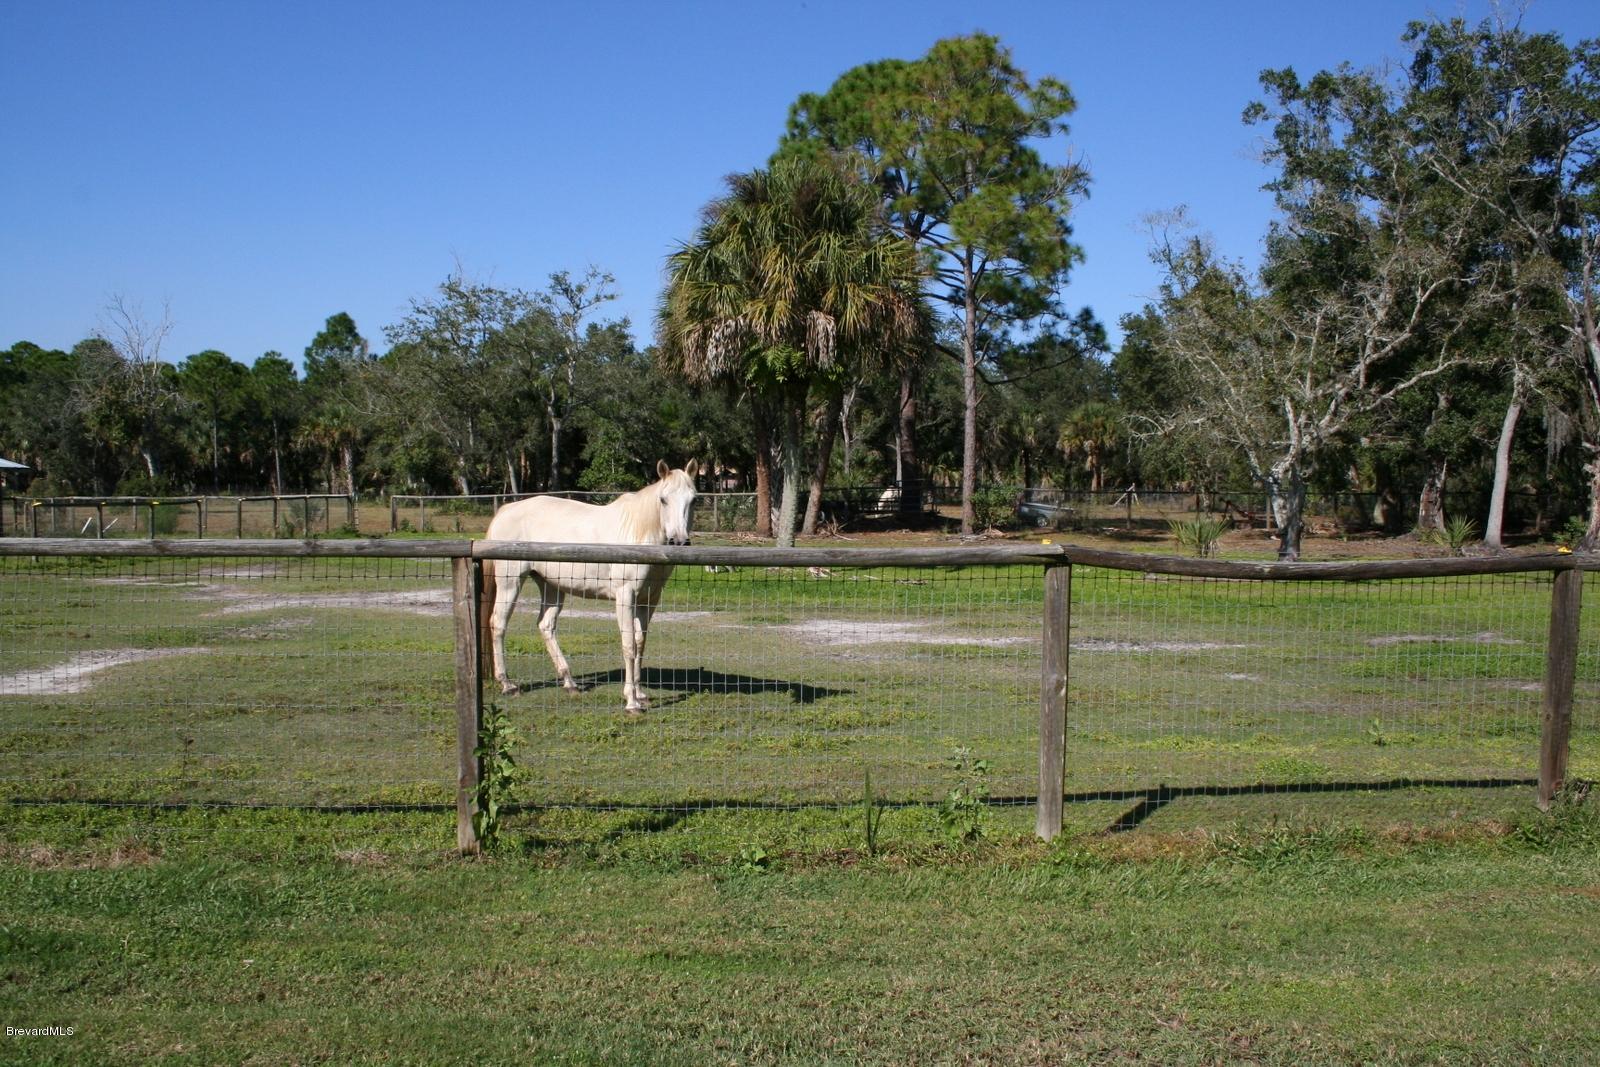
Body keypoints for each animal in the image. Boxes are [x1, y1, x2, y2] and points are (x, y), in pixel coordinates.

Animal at [484, 460, 698, 713]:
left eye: (693, 499)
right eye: (663, 499)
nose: (679, 542)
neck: (639, 535)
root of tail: (505, 510)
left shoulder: (649, 599)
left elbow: (640, 644)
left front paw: (641, 694)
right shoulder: (625, 596)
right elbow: (629, 646)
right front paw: (631, 702)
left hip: (551, 586)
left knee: (546, 626)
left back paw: (569, 682)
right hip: (511, 582)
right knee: (498, 624)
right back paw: (508, 684)